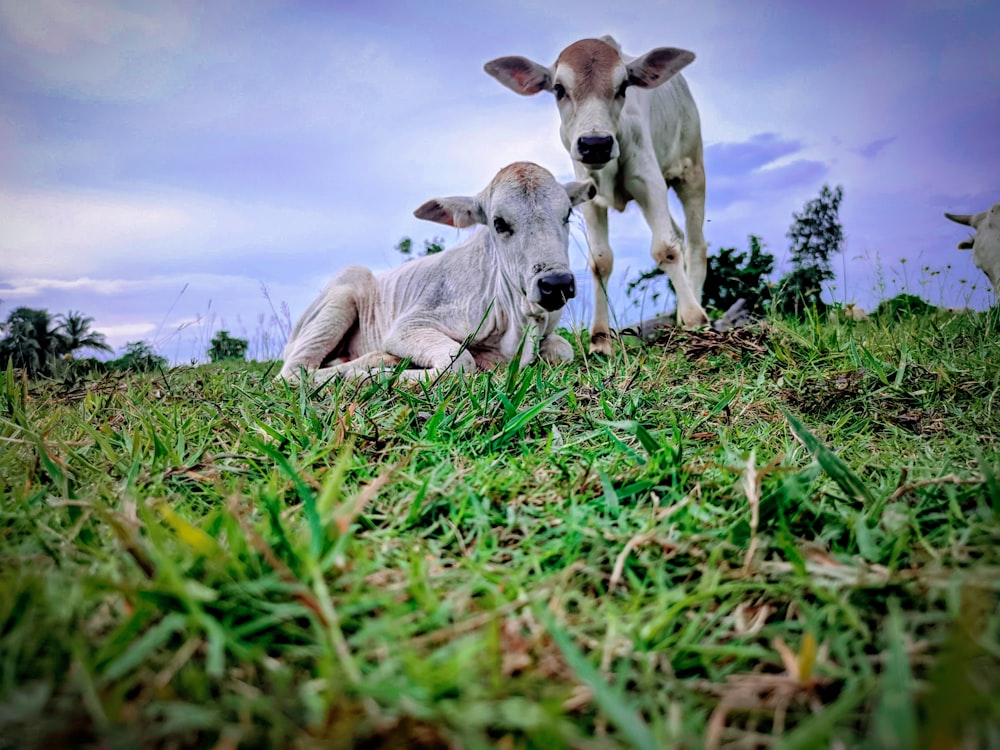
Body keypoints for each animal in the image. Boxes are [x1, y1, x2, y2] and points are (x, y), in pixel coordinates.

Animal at [278, 165, 596, 388]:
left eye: (567, 214)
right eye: (499, 223)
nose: (556, 284)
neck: (518, 319)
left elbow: (564, 349)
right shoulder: (410, 326)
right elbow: (460, 363)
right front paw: (372, 372)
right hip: (342, 295)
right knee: (293, 372)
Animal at [486, 32, 712, 356]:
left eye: (623, 86)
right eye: (559, 89)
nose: (596, 144)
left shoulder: (649, 181)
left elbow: (665, 249)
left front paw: (694, 318)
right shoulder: (588, 196)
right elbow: (600, 261)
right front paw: (600, 338)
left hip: (691, 170)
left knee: (695, 243)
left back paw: (692, 309)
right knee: (680, 235)